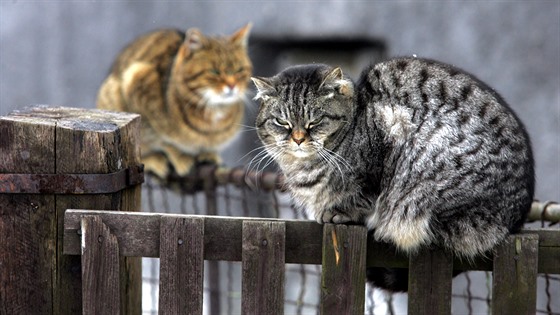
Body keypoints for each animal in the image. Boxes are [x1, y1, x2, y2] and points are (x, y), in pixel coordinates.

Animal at [97, 24, 253, 183]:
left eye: (240, 70)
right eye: (214, 71)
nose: (232, 85)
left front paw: (209, 154)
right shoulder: (137, 85)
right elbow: (163, 139)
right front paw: (180, 156)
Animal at [253, 58, 532, 292]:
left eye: (316, 120)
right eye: (282, 122)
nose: (299, 139)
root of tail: (515, 218)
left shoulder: (379, 155)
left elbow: (363, 195)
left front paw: (340, 212)